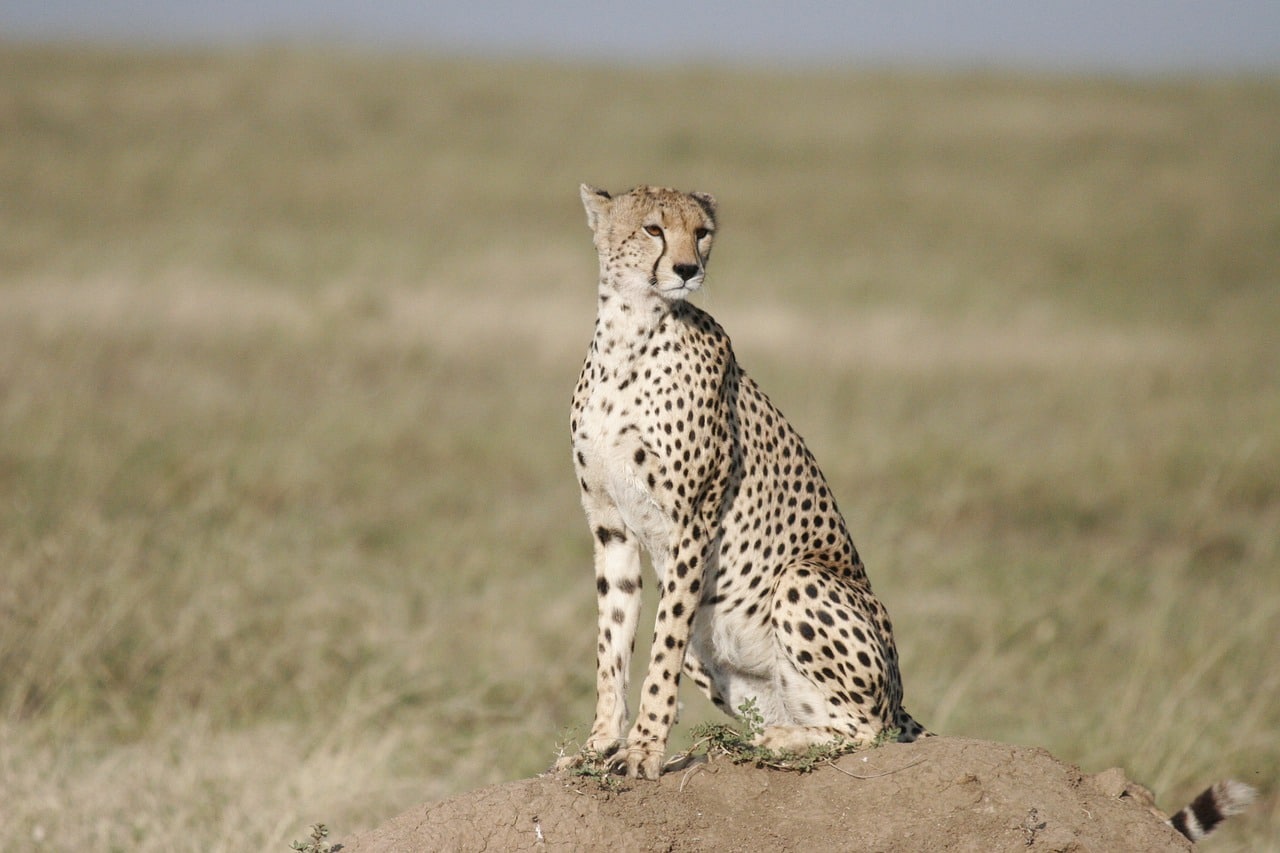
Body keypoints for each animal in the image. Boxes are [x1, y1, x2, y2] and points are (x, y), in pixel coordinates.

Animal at [560, 185, 931, 778]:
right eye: (653, 229)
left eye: (702, 232)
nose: (687, 269)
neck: (630, 333)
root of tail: (897, 697)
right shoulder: (610, 526)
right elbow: (612, 642)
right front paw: (599, 747)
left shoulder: (693, 519)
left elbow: (660, 650)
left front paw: (643, 750)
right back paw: (757, 740)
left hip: (802, 579)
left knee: (870, 730)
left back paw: (774, 743)